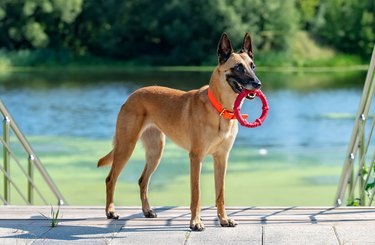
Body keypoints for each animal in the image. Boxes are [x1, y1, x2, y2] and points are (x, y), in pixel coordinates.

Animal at [97, 33, 262, 232]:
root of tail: (132, 95)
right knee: (110, 179)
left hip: (155, 152)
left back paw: (147, 210)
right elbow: (196, 194)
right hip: (126, 148)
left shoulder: (222, 158)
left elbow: (220, 194)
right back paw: (110, 211)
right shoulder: (196, 157)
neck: (220, 109)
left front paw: (223, 219)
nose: (258, 84)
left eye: (253, 66)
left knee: (142, 180)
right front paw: (195, 222)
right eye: (238, 67)